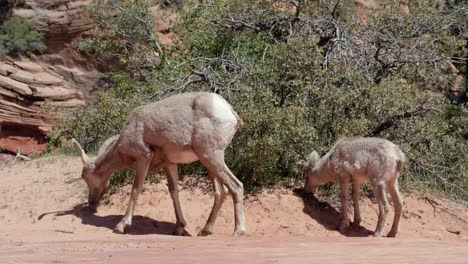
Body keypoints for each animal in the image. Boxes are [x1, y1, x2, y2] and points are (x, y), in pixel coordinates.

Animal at [72, 92, 245, 235]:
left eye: (85, 176)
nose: (92, 205)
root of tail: (229, 112)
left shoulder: (143, 159)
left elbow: (135, 189)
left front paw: (121, 226)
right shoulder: (169, 165)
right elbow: (174, 192)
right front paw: (179, 228)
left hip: (211, 156)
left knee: (236, 186)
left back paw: (238, 231)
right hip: (209, 162)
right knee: (221, 192)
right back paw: (205, 230)